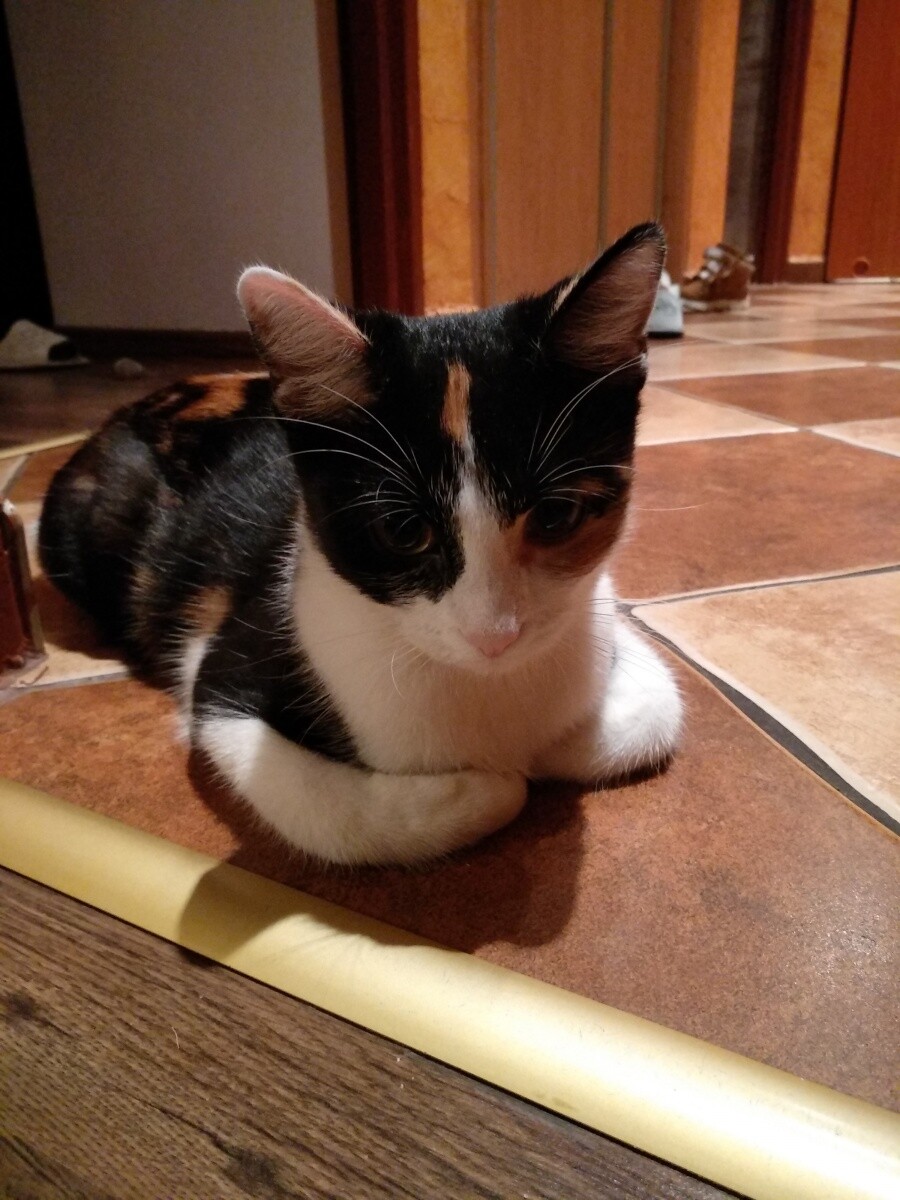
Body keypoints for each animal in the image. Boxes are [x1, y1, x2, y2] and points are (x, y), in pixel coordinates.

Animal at [39, 222, 682, 866]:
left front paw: (547, 749)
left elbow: (656, 710)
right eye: (402, 531)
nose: (493, 636)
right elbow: (329, 809)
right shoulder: (225, 669)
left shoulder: (601, 618)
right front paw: (489, 784)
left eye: (555, 515)